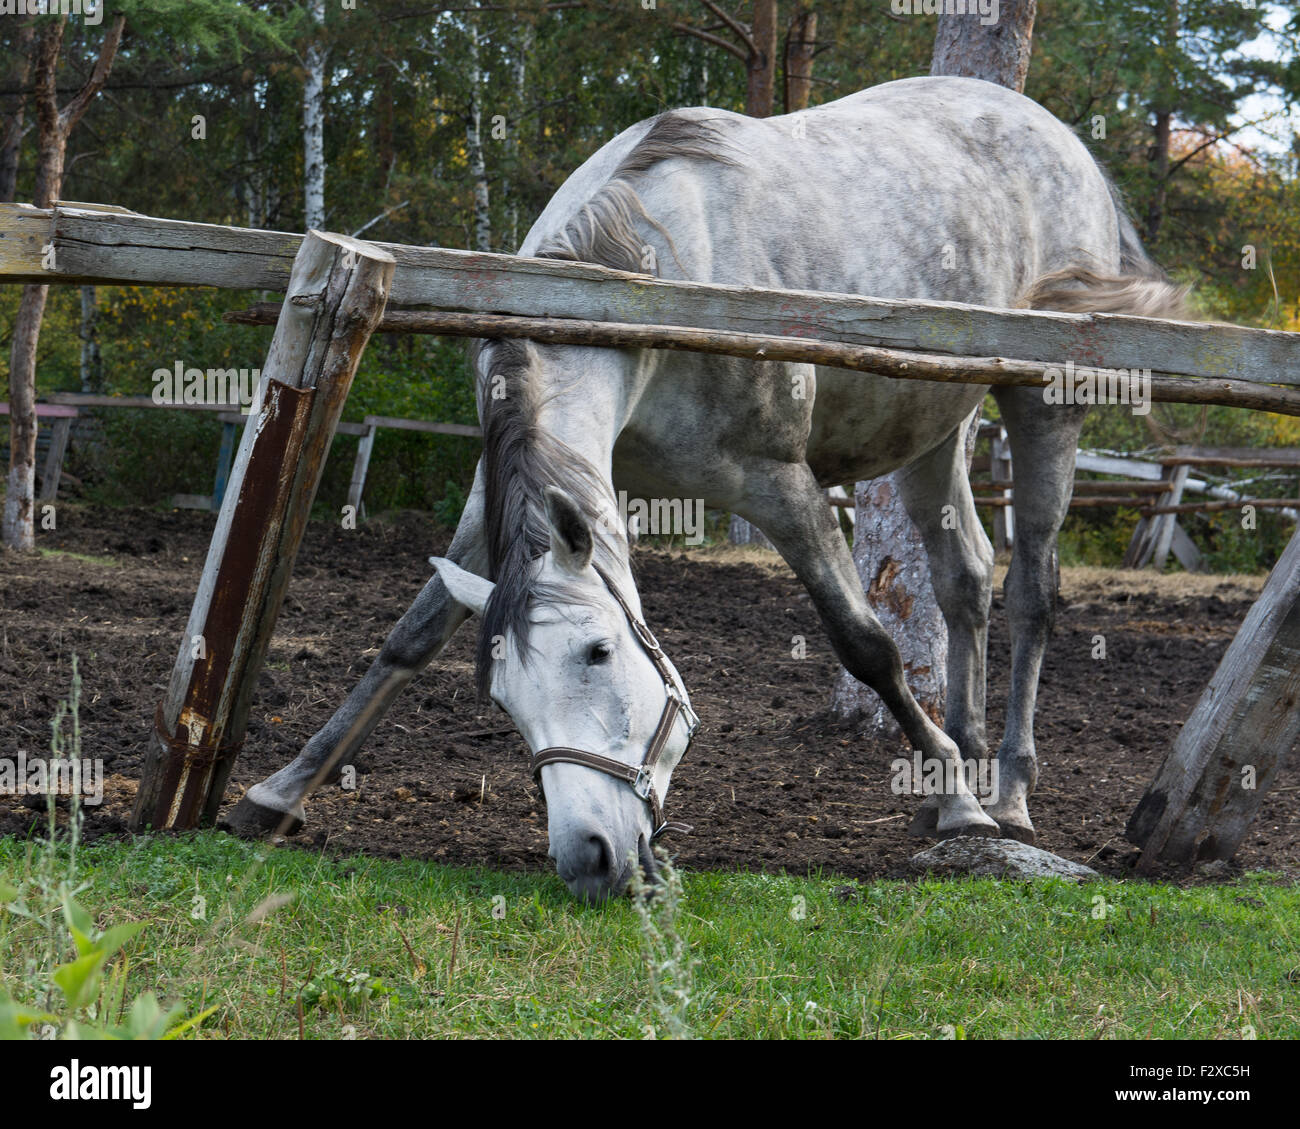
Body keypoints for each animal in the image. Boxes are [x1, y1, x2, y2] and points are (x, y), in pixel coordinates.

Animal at [226, 77, 1190, 900]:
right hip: (933, 428)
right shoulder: (499, 507)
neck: (650, 277)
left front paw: (959, 799)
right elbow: (407, 639)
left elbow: (867, 645)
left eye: (598, 653)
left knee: (1031, 588)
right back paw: (965, 758)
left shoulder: (779, 486)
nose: (589, 858)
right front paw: (277, 794)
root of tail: (1058, 134)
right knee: (965, 579)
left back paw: (1009, 795)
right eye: (500, 697)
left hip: (1044, 404)